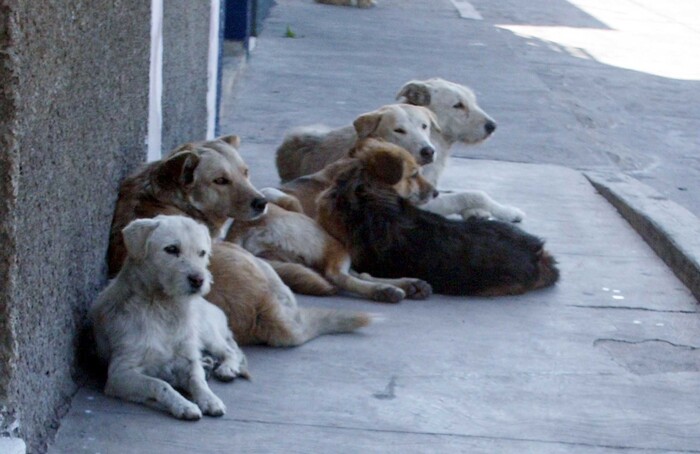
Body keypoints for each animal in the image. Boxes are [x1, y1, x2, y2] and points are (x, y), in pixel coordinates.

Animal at [88, 215, 246, 420]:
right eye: (171, 249)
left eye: (202, 253)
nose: (199, 280)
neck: (163, 308)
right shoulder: (119, 374)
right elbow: (159, 384)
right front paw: (183, 405)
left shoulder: (186, 359)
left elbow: (197, 380)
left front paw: (210, 399)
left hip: (207, 334)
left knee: (230, 350)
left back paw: (226, 368)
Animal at [106, 137, 372, 346]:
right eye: (220, 180)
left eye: (245, 172)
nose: (262, 202)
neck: (165, 197)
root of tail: (264, 309)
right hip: (255, 262)